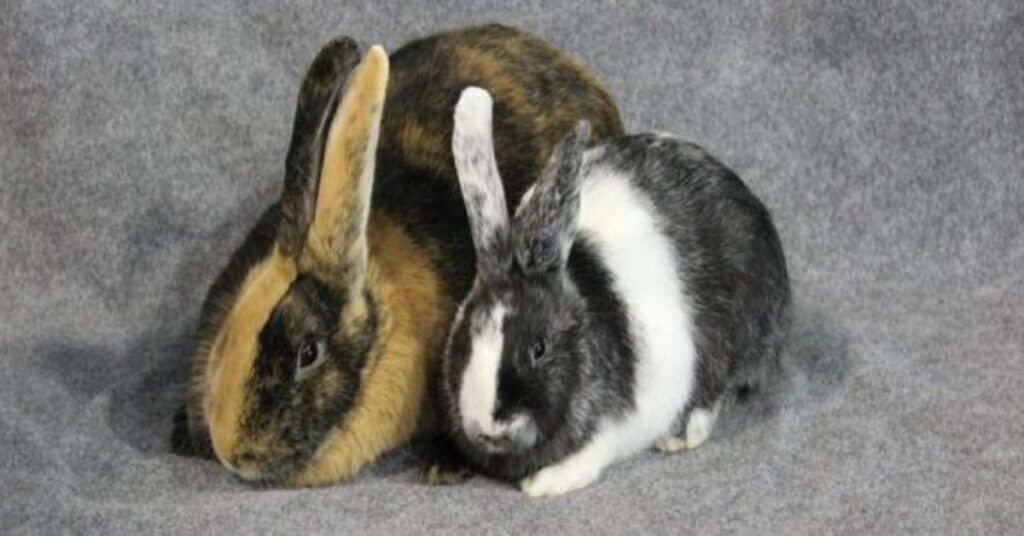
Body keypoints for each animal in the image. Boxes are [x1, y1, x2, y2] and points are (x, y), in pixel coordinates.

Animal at [439, 87, 791, 497]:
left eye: (539, 348)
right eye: (464, 339)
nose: (487, 428)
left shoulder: (612, 427)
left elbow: (588, 458)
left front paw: (541, 484)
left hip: (728, 337)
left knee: (716, 391)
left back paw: (681, 435)